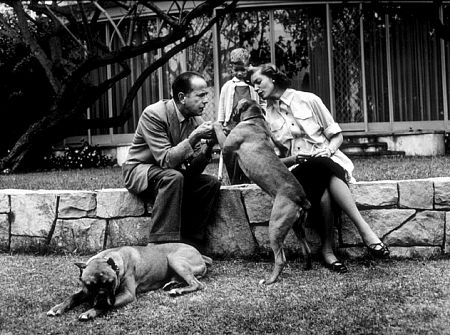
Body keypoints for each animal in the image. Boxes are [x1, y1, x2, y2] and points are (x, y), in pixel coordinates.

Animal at [46, 243, 212, 322]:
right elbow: (72, 297)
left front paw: (89, 312)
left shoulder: (126, 294)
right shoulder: (85, 292)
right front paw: (57, 308)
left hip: (175, 259)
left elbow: (106, 305)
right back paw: (173, 285)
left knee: (197, 283)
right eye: (89, 285)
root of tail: (200, 253)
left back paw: (178, 290)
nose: (101, 295)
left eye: (110, 283)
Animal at [213, 98, 312, 284]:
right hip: (297, 227)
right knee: (306, 248)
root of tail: (301, 198)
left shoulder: (227, 147)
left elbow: (220, 134)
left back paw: (270, 280)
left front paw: (215, 124)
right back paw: (306, 266)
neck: (254, 119)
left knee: (280, 259)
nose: (229, 117)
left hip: (275, 226)